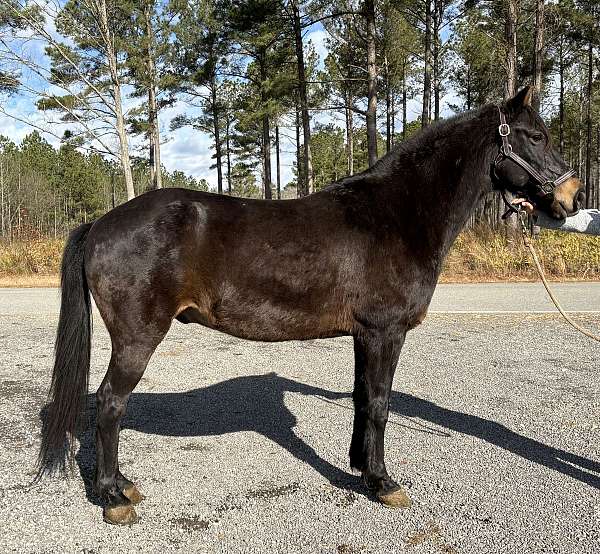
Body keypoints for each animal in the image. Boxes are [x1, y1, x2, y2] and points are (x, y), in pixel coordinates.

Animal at [39, 86, 584, 520]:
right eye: (535, 136)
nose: (572, 198)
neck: (396, 215)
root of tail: (102, 223)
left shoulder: (365, 334)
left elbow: (364, 398)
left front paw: (362, 468)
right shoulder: (386, 332)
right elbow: (381, 403)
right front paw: (384, 483)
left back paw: (123, 485)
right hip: (137, 337)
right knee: (110, 403)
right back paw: (113, 497)